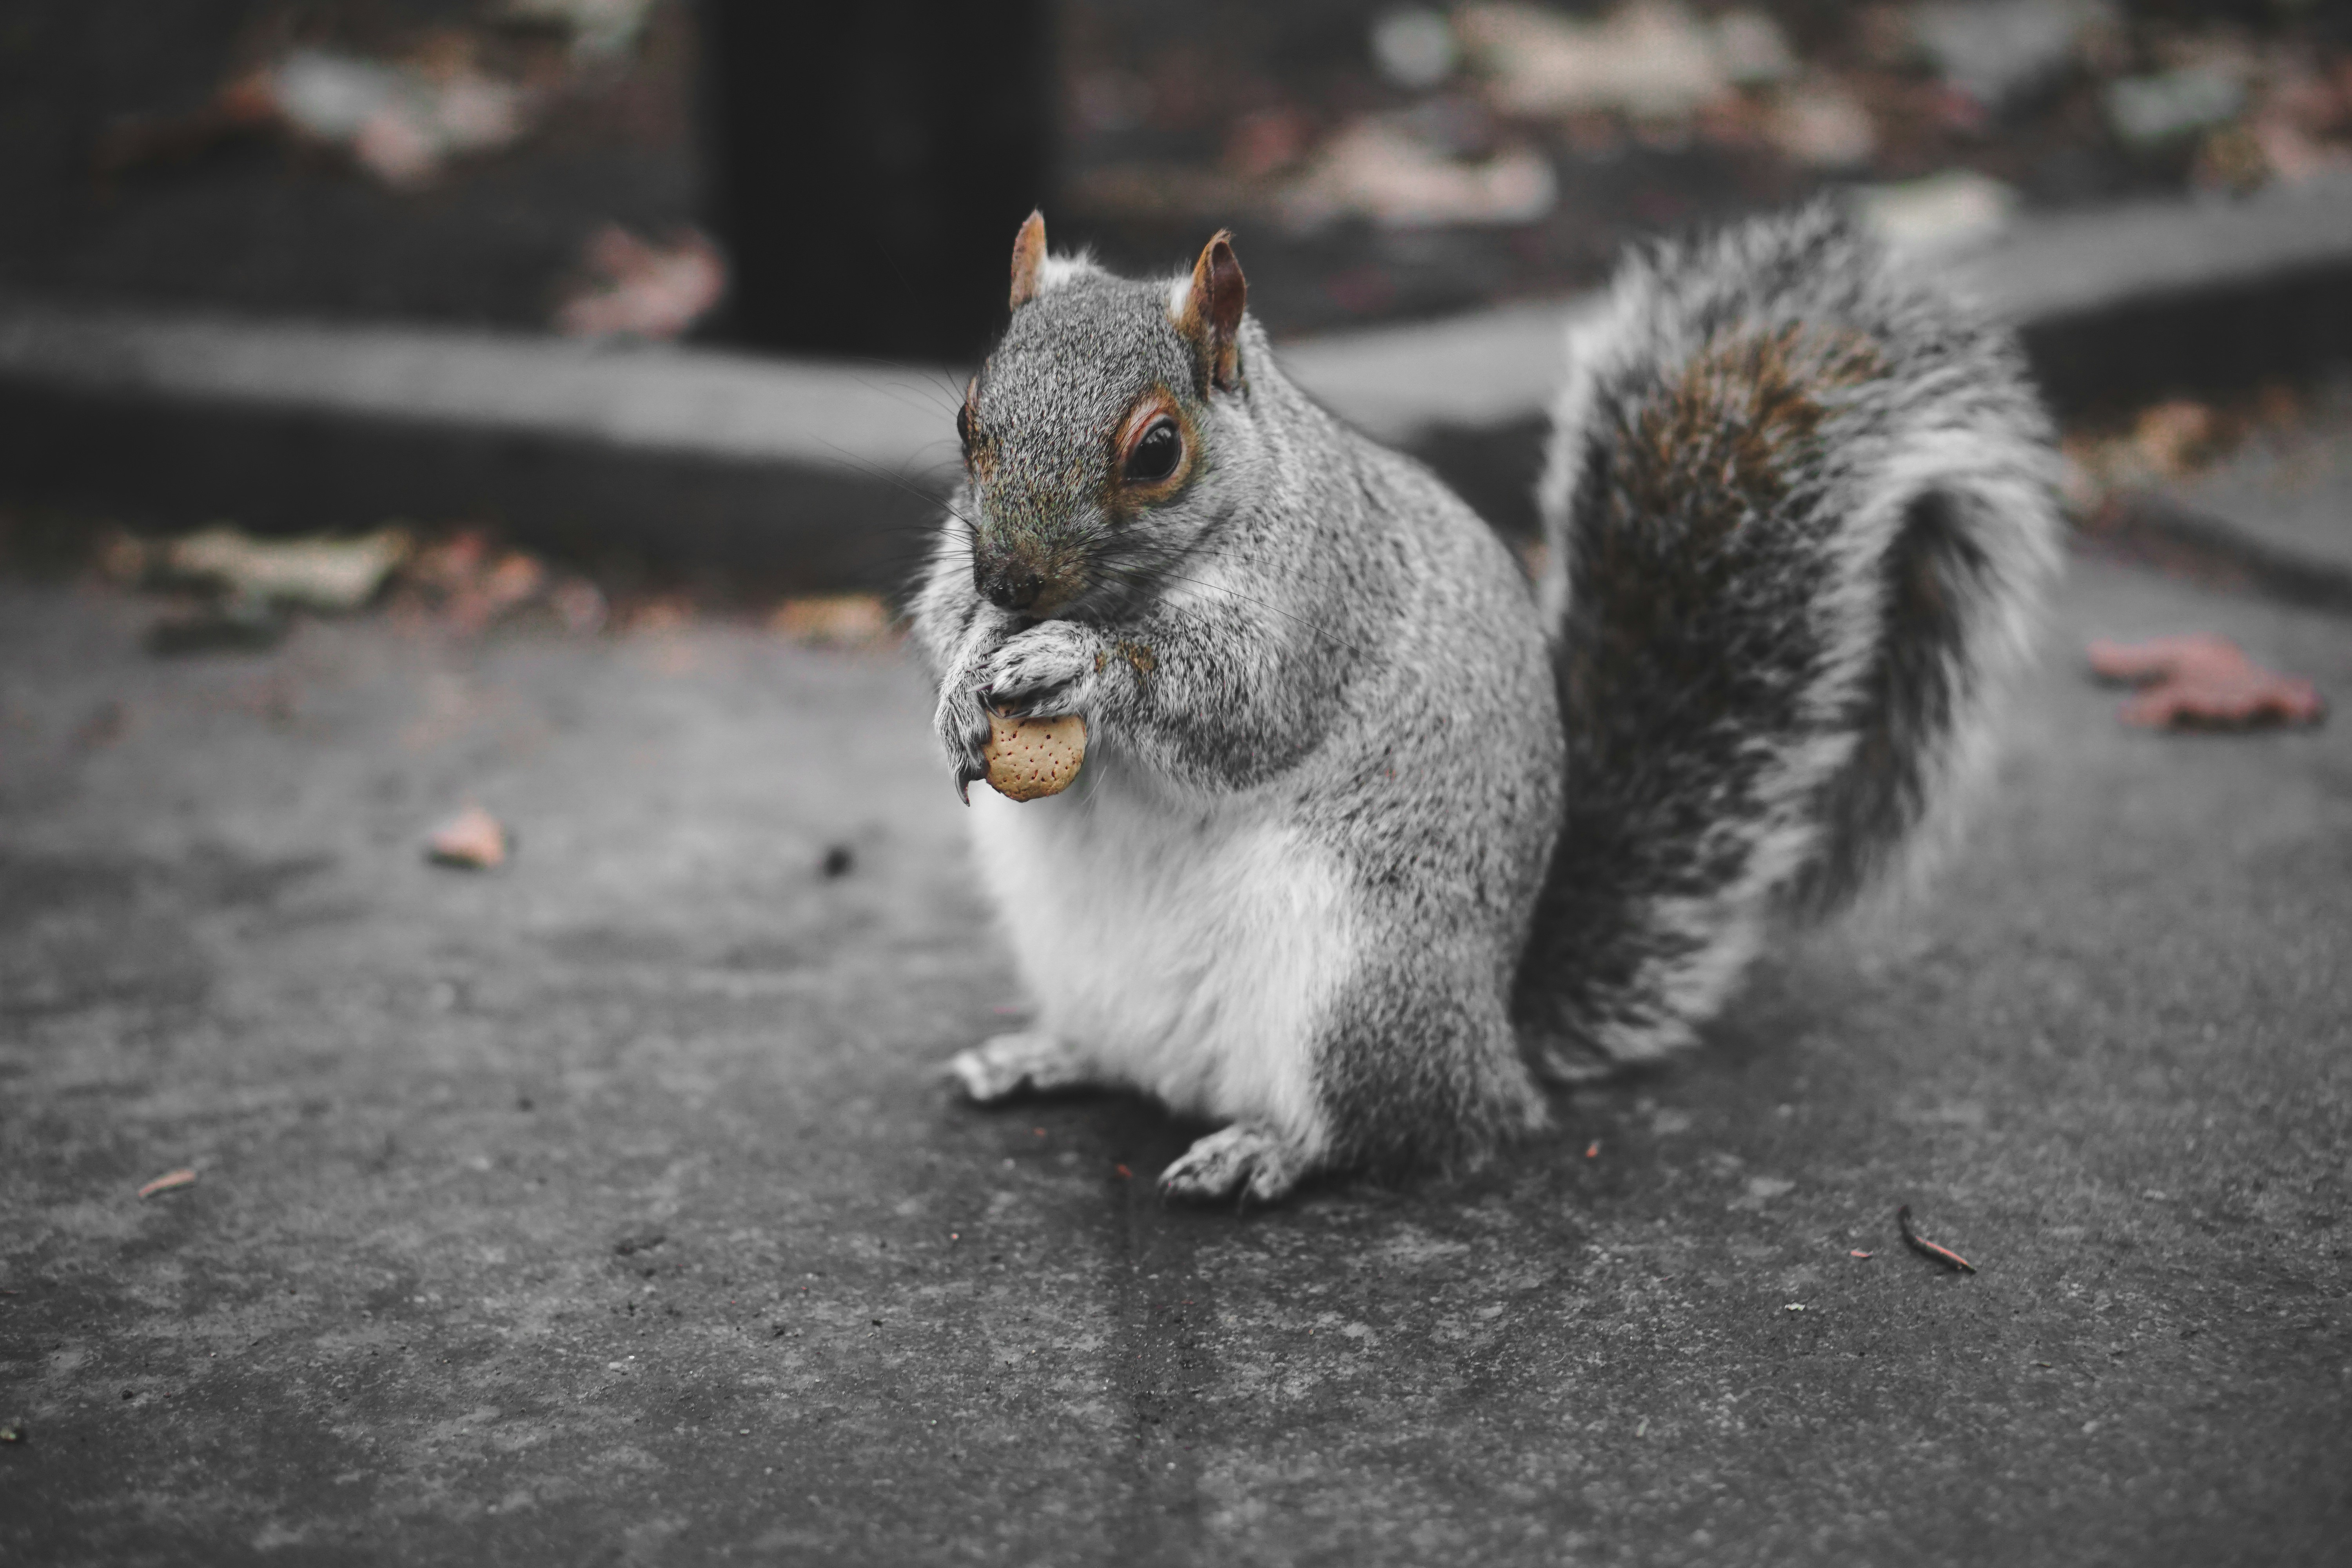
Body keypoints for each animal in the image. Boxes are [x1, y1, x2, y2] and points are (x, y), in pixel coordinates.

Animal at [912, 203, 2059, 1204]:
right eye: (967, 420)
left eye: (1157, 450)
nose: (1013, 580)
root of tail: (1496, 1043)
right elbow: (939, 616)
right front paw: (964, 674)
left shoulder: (1323, 600)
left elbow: (1242, 708)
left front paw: (1081, 661)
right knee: (1130, 1058)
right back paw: (1040, 1056)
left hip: (1357, 981)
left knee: (1392, 1128)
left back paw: (1266, 1149)